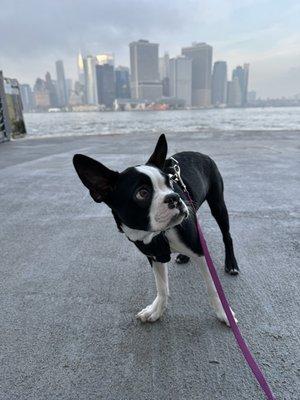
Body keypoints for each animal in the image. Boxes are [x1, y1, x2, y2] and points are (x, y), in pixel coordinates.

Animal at [72, 134, 239, 324]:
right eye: (142, 193)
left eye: (170, 183)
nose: (174, 197)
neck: (158, 234)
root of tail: (199, 153)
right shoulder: (154, 255)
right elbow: (162, 287)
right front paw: (156, 310)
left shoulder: (200, 252)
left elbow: (213, 288)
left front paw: (224, 313)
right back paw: (183, 256)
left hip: (218, 205)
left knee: (227, 235)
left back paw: (231, 264)